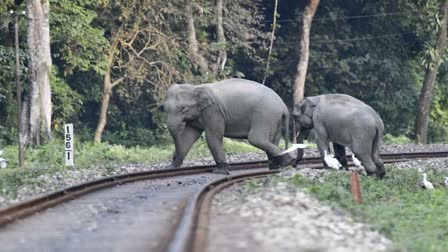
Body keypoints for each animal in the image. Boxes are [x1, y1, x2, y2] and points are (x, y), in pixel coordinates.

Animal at [163, 78, 292, 174]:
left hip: (265, 116)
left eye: (183, 108)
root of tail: (284, 107)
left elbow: (213, 137)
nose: (172, 163)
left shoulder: (213, 111)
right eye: (165, 108)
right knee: (271, 140)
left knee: (256, 139)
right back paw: (275, 168)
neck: (196, 87)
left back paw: (288, 162)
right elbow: (188, 138)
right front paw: (170, 168)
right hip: (274, 120)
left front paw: (220, 172)